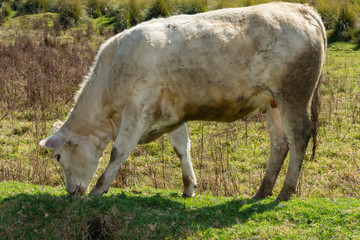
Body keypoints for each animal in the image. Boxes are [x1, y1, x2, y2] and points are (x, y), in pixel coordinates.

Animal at [39, 2, 326, 201]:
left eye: (58, 156)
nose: (70, 191)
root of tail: (300, 8)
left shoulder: (136, 112)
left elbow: (118, 151)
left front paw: (99, 189)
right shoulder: (172, 114)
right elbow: (182, 148)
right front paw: (189, 186)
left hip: (294, 96)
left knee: (299, 137)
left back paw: (285, 192)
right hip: (273, 102)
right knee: (279, 144)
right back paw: (262, 191)